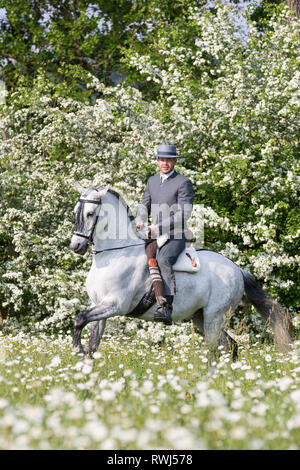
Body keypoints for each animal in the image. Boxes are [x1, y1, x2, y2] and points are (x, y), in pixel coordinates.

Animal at [69, 183, 290, 356]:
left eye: (90, 214)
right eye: (75, 212)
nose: (76, 246)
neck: (115, 253)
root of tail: (236, 270)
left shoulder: (115, 304)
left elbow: (79, 320)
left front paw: (77, 350)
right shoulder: (99, 305)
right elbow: (92, 344)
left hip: (215, 318)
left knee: (217, 349)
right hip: (201, 317)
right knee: (231, 346)